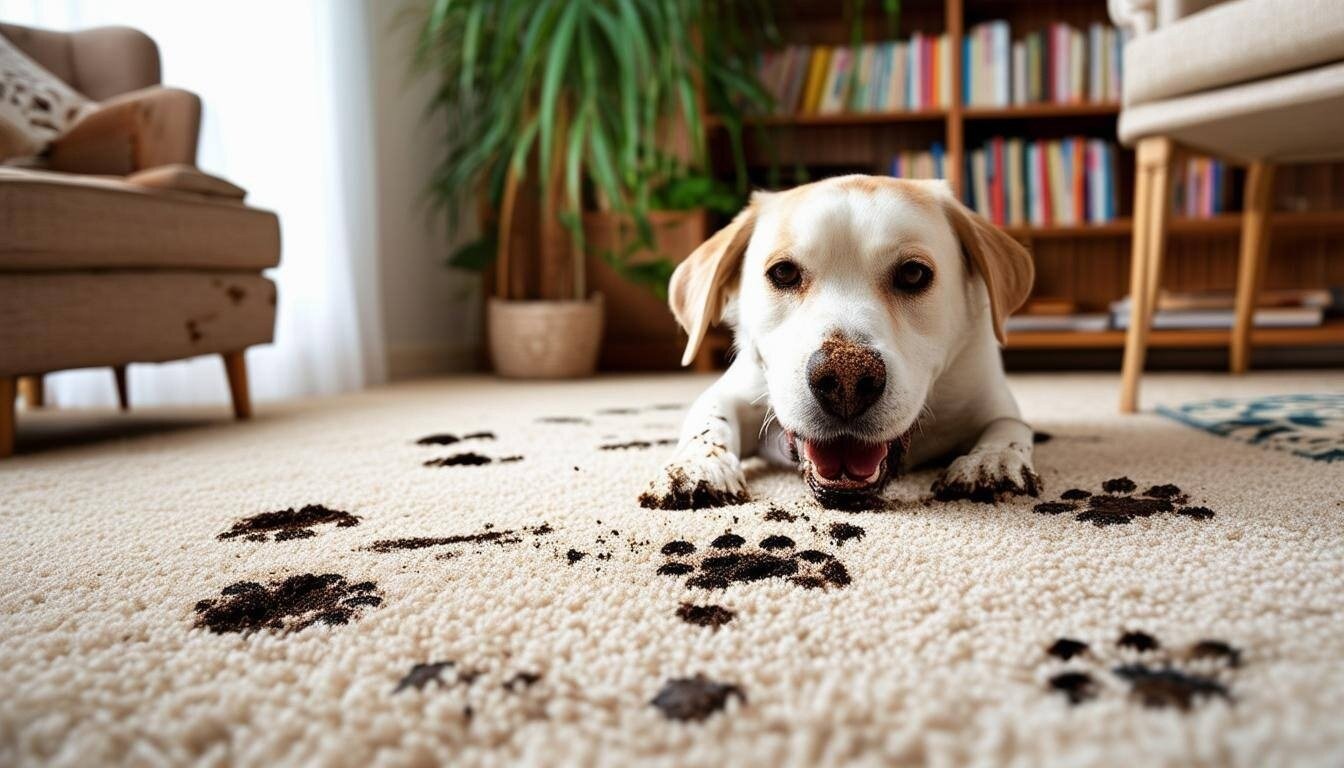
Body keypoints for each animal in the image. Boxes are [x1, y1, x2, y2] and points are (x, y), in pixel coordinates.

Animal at [637, 174, 1037, 511]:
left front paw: (993, 460)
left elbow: (1009, 426)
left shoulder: (987, 396)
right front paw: (697, 464)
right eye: (784, 272)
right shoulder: (737, 389)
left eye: (913, 273)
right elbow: (710, 419)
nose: (846, 380)